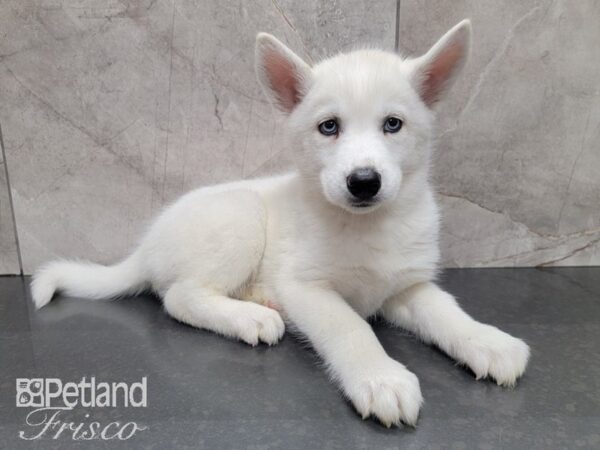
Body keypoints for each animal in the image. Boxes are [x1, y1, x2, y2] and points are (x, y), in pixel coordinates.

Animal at [32, 21, 528, 428]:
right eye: (329, 127)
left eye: (393, 124)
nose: (363, 182)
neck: (366, 227)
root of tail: (145, 246)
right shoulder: (306, 287)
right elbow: (352, 328)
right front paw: (380, 378)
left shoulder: (406, 286)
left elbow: (446, 311)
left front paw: (488, 342)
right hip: (241, 217)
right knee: (179, 297)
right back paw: (250, 317)